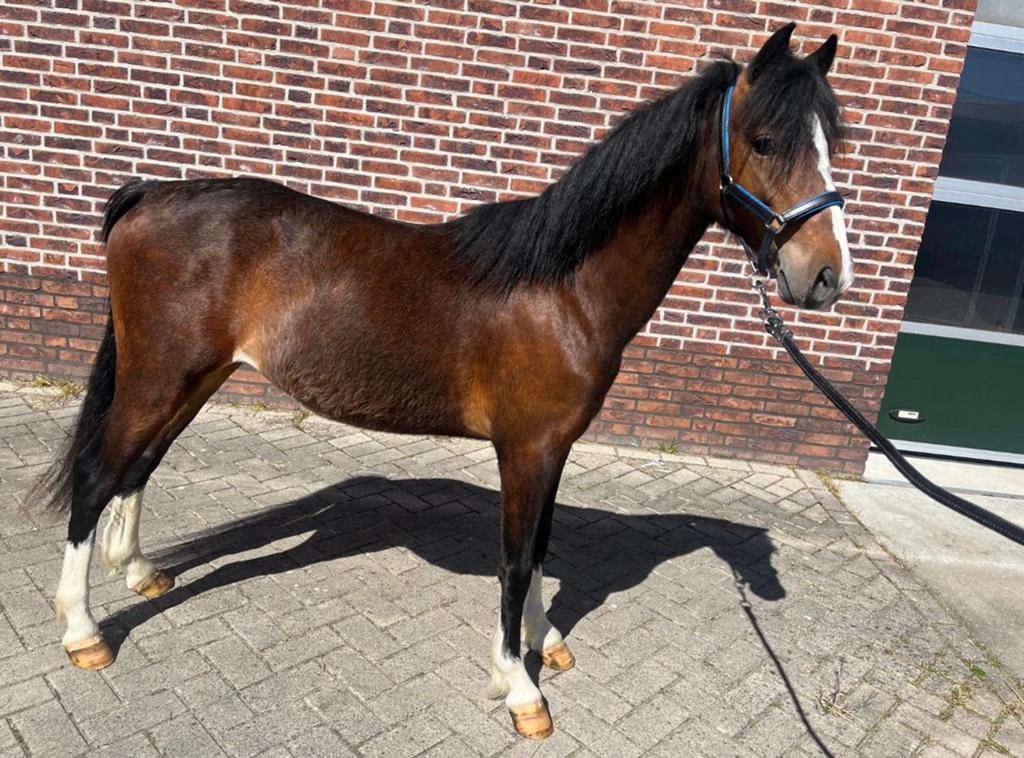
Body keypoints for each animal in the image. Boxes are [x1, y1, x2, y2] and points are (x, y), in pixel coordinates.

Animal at [35, 23, 851, 739]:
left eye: (832, 144)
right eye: (765, 141)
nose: (824, 276)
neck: (563, 288)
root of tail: (149, 195)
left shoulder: (552, 449)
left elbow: (542, 547)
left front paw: (546, 640)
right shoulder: (525, 450)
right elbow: (515, 561)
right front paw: (519, 688)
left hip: (192, 378)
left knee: (139, 466)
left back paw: (140, 572)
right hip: (158, 376)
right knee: (96, 473)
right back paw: (82, 630)